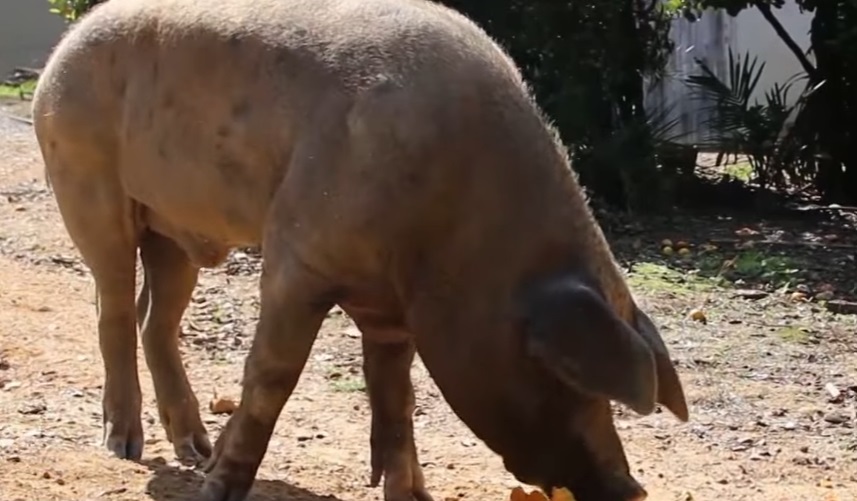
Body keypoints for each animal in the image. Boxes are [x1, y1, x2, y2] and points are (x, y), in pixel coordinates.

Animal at [33, 0, 688, 498]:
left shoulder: (390, 309)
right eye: (566, 381)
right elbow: (270, 377)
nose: (633, 488)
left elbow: (397, 396)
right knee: (114, 306)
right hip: (83, 176)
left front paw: (413, 496)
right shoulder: (298, 255)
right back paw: (125, 446)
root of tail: (64, 44)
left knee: (156, 319)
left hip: (173, 231)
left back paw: (191, 447)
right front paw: (217, 488)